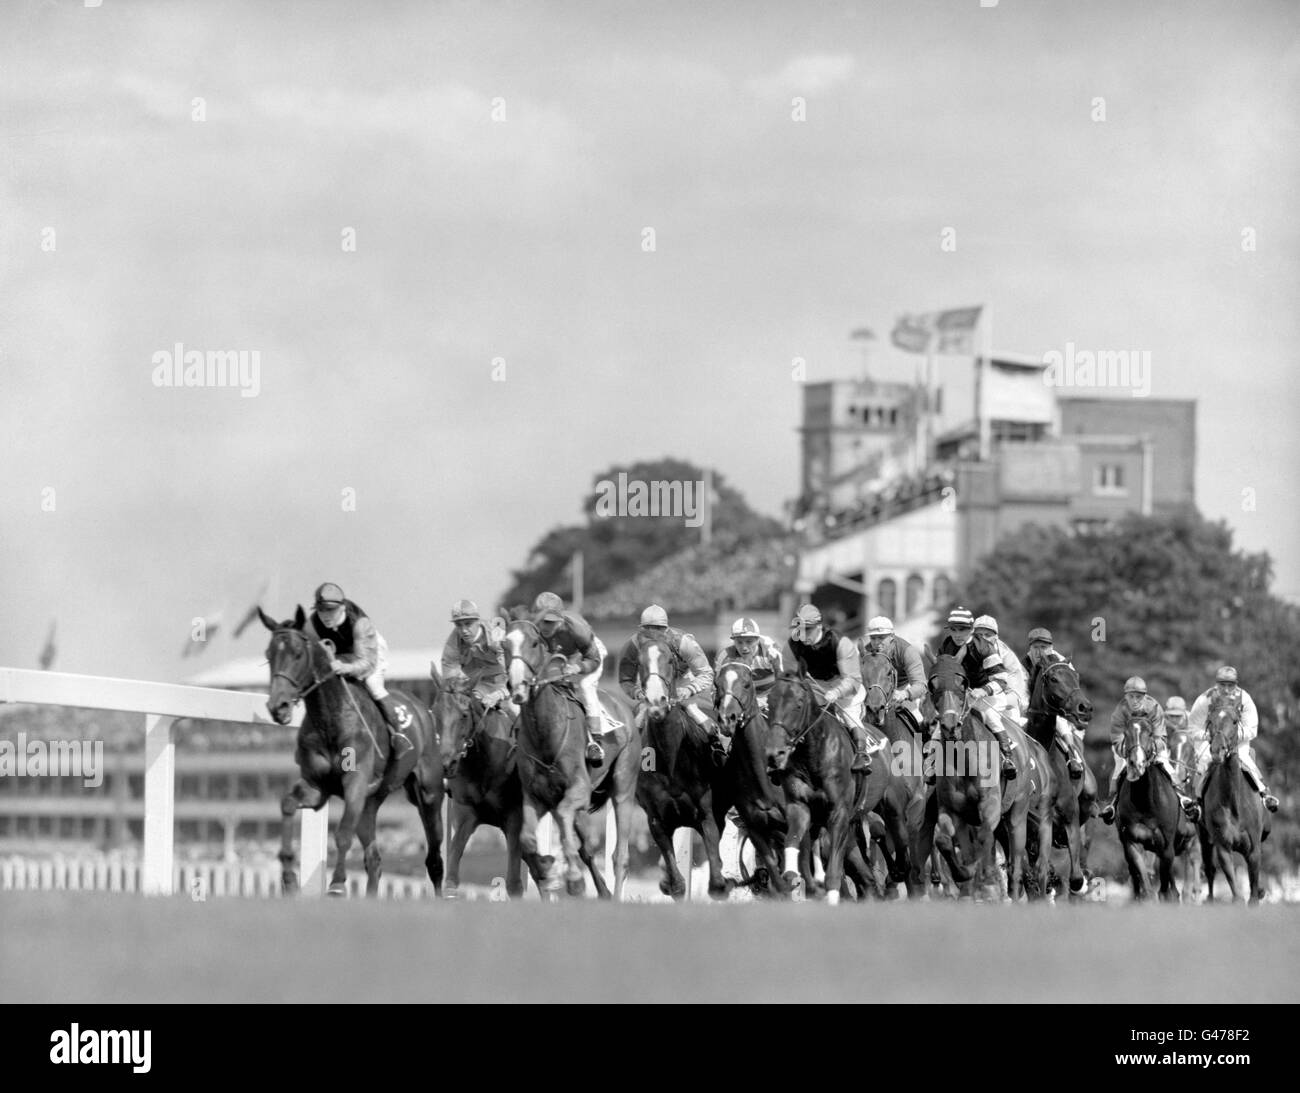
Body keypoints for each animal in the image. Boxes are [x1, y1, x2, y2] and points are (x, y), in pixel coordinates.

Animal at [258, 605, 447, 894]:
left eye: (298, 654)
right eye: (269, 655)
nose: (277, 707)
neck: (330, 719)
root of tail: (423, 709)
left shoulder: (355, 784)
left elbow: (342, 834)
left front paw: (337, 884)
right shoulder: (316, 788)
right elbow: (288, 804)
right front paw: (288, 876)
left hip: (429, 794)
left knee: (435, 859)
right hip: (370, 804)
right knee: (374, 860)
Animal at [501, 618, 639, 899]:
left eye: (534, 643)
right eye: (504, 645)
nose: (518, 686)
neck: (545, 735)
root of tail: (625, 711)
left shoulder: (579, 790)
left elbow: (565, 826)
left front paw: (574, 880)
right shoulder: (536, 796)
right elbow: (527, 839)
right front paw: (546, 869)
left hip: (624, 785)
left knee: (619, 855)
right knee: (587, 847)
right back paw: (602, 891)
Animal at [1118, 712, 1196, 899]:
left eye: (1150, 733)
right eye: (1126, 733)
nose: (1136, 763)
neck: (1146, 802)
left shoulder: (1168, 847)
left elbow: (1169, 889)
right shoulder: (1132, 843)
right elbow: (1147, 887)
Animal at [1196, 691, 1268, 904]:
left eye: (1235, 721)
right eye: (1210, 721)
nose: (1217, 750)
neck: (1233, 802)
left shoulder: (1253, 850)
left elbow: (1253, 894)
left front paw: (1259, 892)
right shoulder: (1223, 847)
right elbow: (1237, 895)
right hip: (1203, 837)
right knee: (1209, 869)